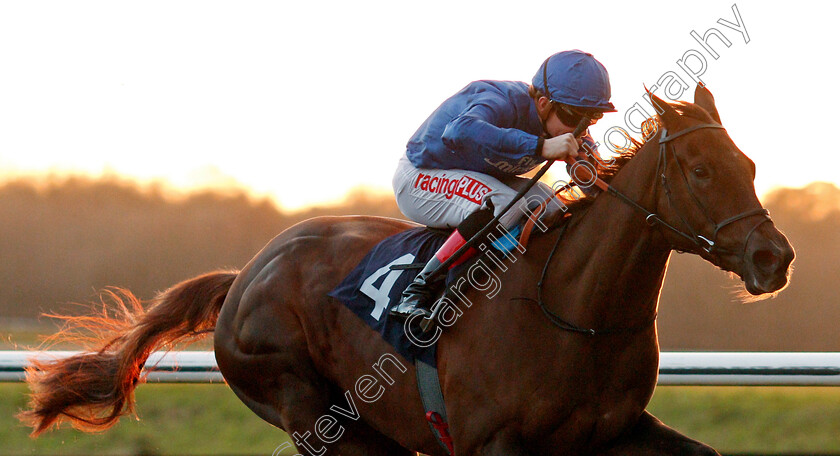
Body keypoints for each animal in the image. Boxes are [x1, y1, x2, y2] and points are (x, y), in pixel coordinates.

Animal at [19, 86, 796, 456]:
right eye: (700, 170)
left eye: (750, 163)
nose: (774, 258)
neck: (579, 312)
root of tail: (244, 277)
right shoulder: (493, 443)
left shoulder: (610, 433)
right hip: (309, 408)